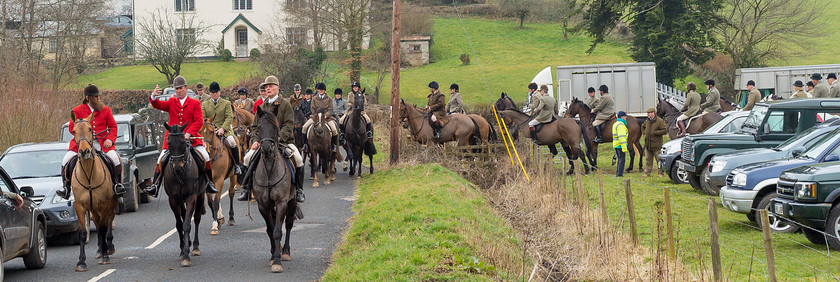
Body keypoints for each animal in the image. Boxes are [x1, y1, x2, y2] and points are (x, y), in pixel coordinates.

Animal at [69, 112, 117, 270]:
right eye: (74, 131)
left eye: (90, 129)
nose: (85, 152)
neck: (89, 175)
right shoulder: (80, 206)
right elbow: (83, 233)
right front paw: (81, 262)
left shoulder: (105, 202)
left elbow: (102, 228)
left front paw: (105, 256)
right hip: (93, 207)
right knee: (96, 221)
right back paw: (100, 249)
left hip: (112, 201)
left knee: (109, 219)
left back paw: (108, 247)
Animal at [161, 123, 208, 266]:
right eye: (169, 143)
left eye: (184, 142)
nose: (178, 168)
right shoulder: (173, 200)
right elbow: (179, 224)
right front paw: (182, 251)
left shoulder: (191, 197)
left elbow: (187, 224)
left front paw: (186, 255)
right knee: (183, 215)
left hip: (200, 195)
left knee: (197, 218)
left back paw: (196, 247)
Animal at [251, 106, 304, 274]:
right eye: (259, 127)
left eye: (275, 127)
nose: (267, 149)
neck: (269, 169)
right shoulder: (263, 205)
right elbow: (270, 229)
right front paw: (272, 255)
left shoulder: (282, 202)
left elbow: (277, 231)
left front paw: (277, 261)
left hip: (292, 201)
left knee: (288, 225)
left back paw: (285, 252)